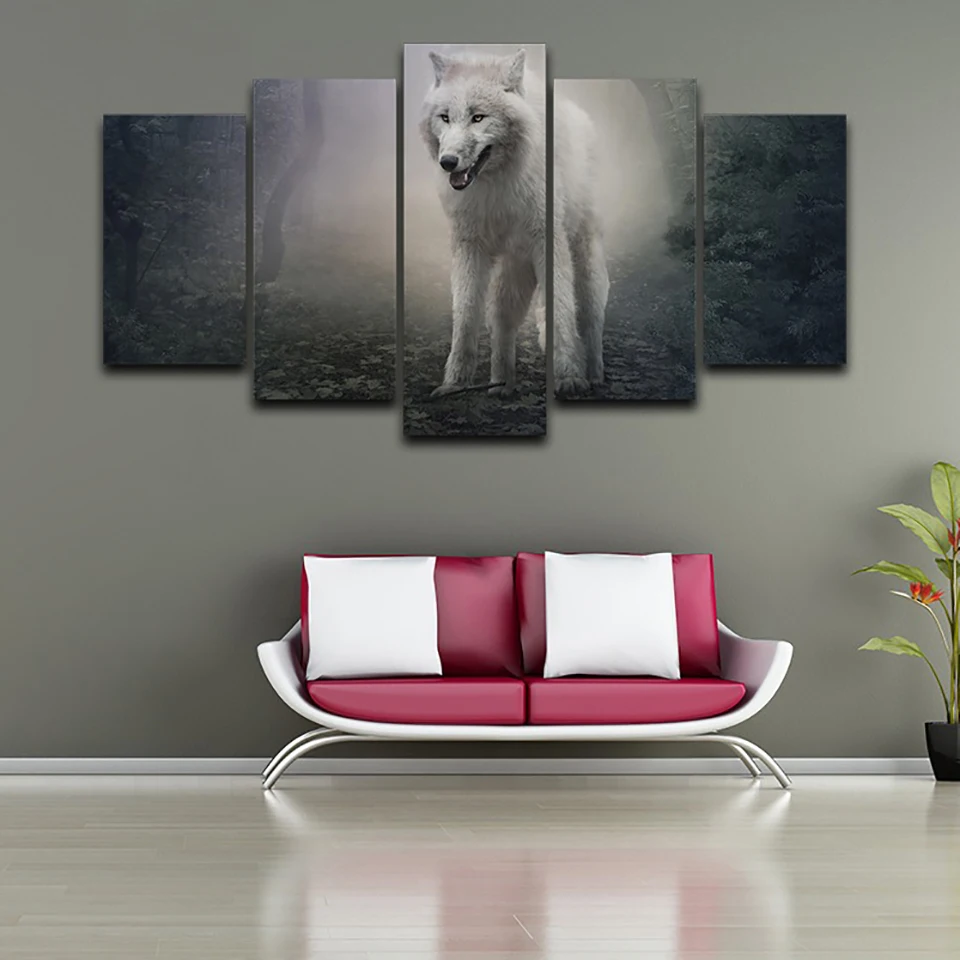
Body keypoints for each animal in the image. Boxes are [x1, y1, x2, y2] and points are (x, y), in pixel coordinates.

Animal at [420, 48, 608, 397]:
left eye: (478, 117)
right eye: (445, 117)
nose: (448, 162)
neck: (496, 186)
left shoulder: (549, 243)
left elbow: (561, 311)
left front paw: (570, 377)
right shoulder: (468, 247)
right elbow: (465, 317)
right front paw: (454, 384)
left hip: (584, 261)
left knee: (589, 316)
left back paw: (594, 373)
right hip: (513, 270)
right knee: (502, 319)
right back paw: (500, 383)